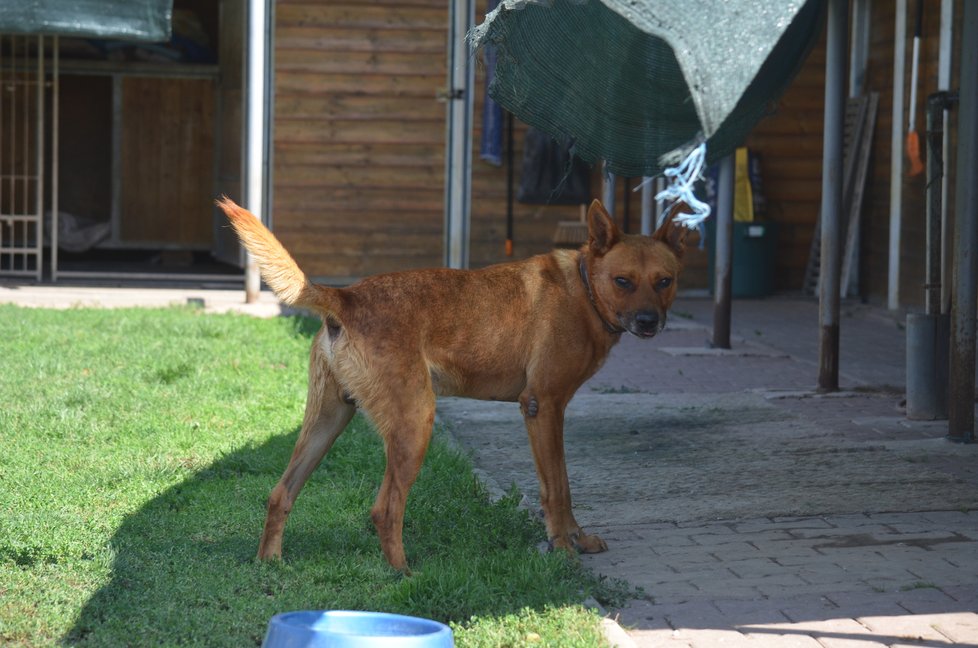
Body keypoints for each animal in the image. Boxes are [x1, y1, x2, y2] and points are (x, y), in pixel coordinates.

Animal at [215, 197, 688, 572]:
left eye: (665, 281)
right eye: (623, 281)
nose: (650, 323)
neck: (586, 290)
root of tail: (344, 296)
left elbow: (562, 488)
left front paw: (576, 539)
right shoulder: (543, 406)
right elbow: (558, 489)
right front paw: (563, 548)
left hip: (327, 423)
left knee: (280, 494)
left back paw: (270, 562)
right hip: (414, 423)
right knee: (384, 509)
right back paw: (403, 574)